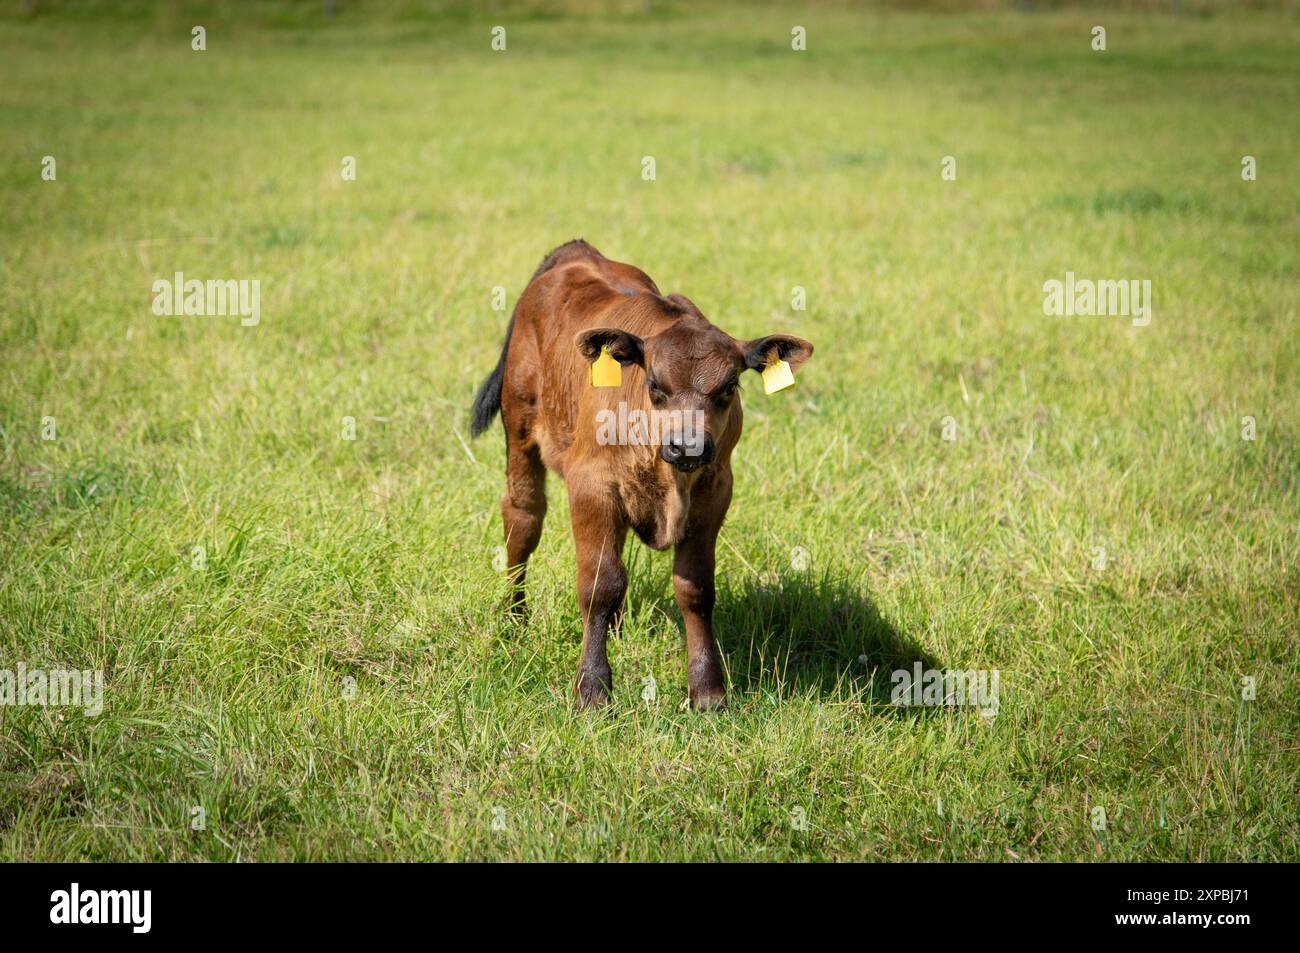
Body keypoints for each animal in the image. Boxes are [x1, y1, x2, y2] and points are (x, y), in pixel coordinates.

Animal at [469, 240, 813, 711]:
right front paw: (593, 689)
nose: (687, 446)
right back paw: (515, 617)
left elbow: (695, 589)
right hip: (519, 428)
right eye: (654, 385)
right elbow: (601, 583)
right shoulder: (591, 485)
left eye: (729, 388)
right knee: (522, 519)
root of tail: (577, 252)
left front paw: (707, 692)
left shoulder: (715, 492)